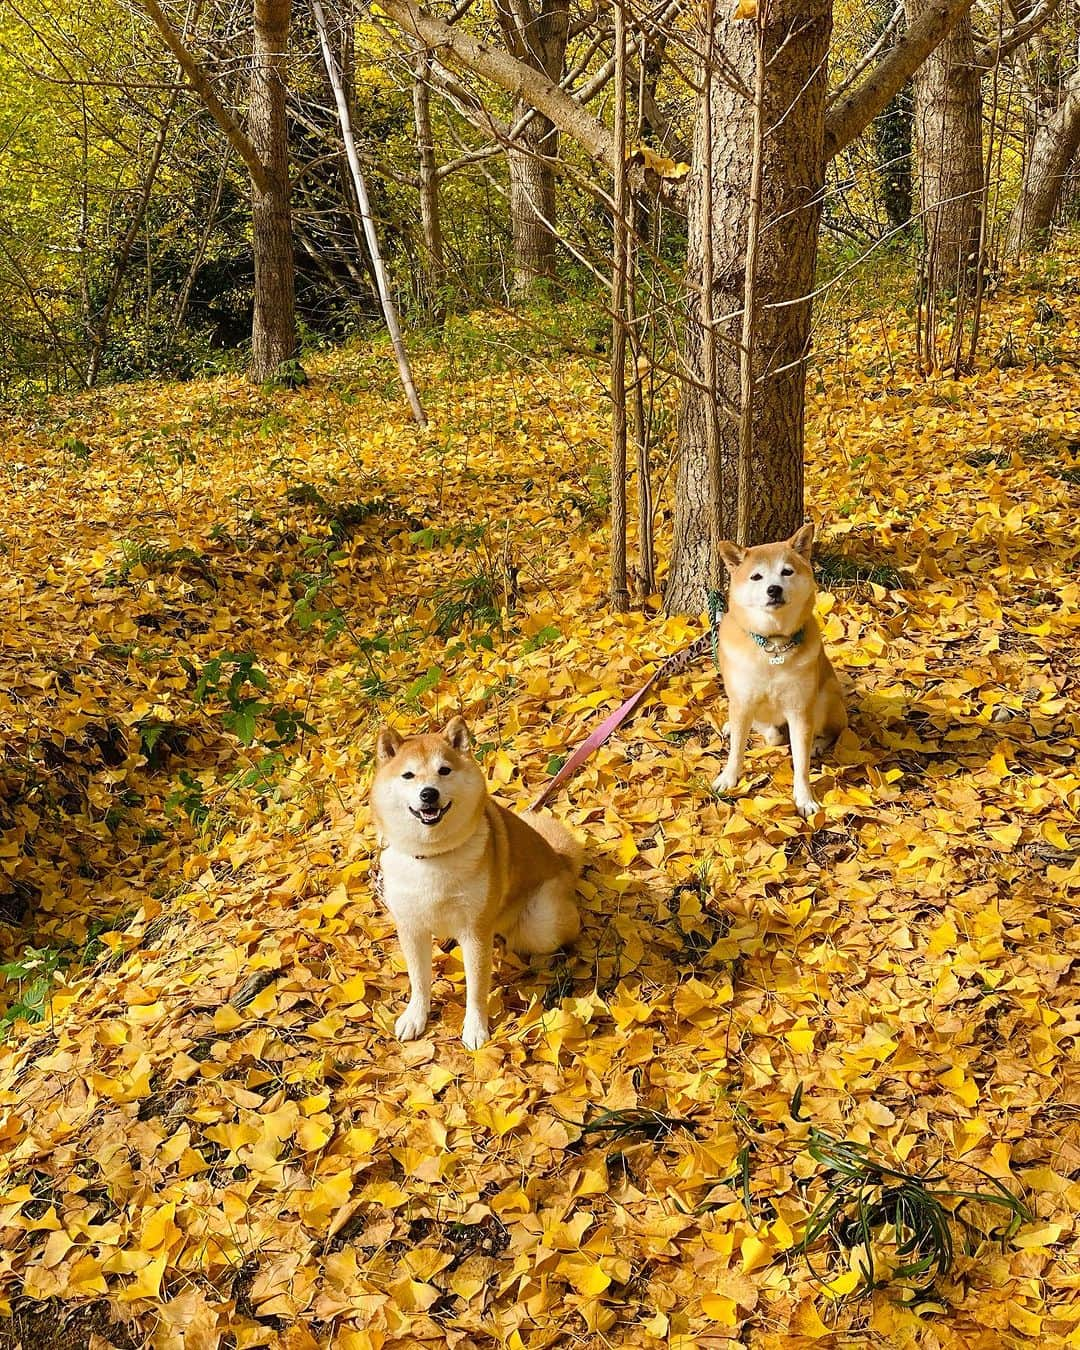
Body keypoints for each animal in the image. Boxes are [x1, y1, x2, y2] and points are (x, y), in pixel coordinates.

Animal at [372, 712, 583, 1047]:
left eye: (444, 770)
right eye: (408, 775)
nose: (428, 793)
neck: (432, 857)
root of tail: (562, 859)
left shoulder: (475, 931)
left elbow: (476, 989)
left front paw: (475, 1028)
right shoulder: (411, 927)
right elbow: (419, 980)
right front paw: (415, 1016)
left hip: (541, 924)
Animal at [712, 523, 847, 820]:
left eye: (787, 571)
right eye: (756, 576)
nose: (773, 589)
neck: (772, 644)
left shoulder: (800, 710)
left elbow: (801, 761)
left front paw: (804, 798)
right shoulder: (743, 700)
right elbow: (736, 749)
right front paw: (728, 778)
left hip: (825, 699)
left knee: (835, 730)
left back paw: (819, 742)